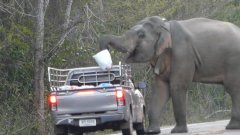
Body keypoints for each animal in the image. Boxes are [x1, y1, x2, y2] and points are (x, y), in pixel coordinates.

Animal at [97, 16, 240, 133]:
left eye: (141, 35)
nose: (105, 53)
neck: (165, 25)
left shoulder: (182, 53)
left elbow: (177, 86)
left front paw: (178, 131)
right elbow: (161, 89)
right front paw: (151, 131)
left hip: (233, 62)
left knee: (233, 88)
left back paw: (231, 127)